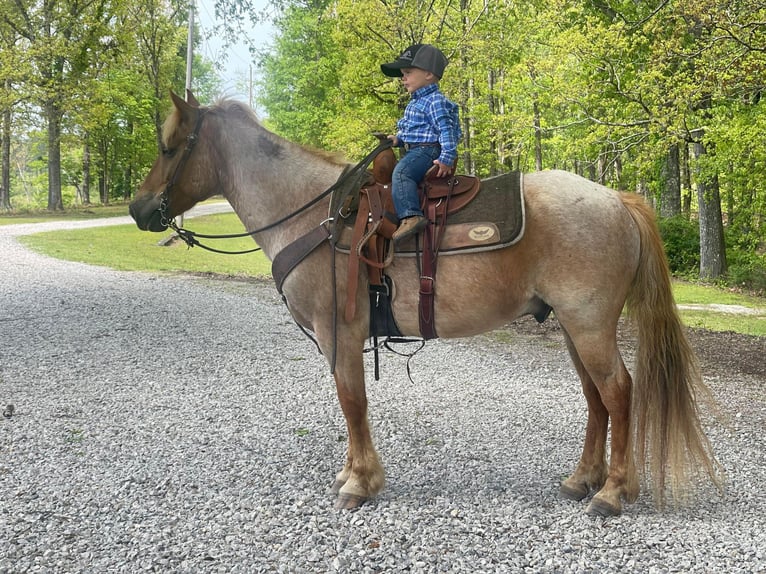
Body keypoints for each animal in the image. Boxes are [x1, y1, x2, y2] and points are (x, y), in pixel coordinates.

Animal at [129, 92, 724, 520]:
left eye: (168, 146)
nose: (137, 209)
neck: (317, 216)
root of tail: (616, 199)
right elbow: (350, 404)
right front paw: (351, 473)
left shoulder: (340, 331)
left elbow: (352, 402)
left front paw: (360, 483)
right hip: (576, 329)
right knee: (596, 399)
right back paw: (583, 480)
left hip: (591, 324)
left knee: (618, 393)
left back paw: (613, 493)